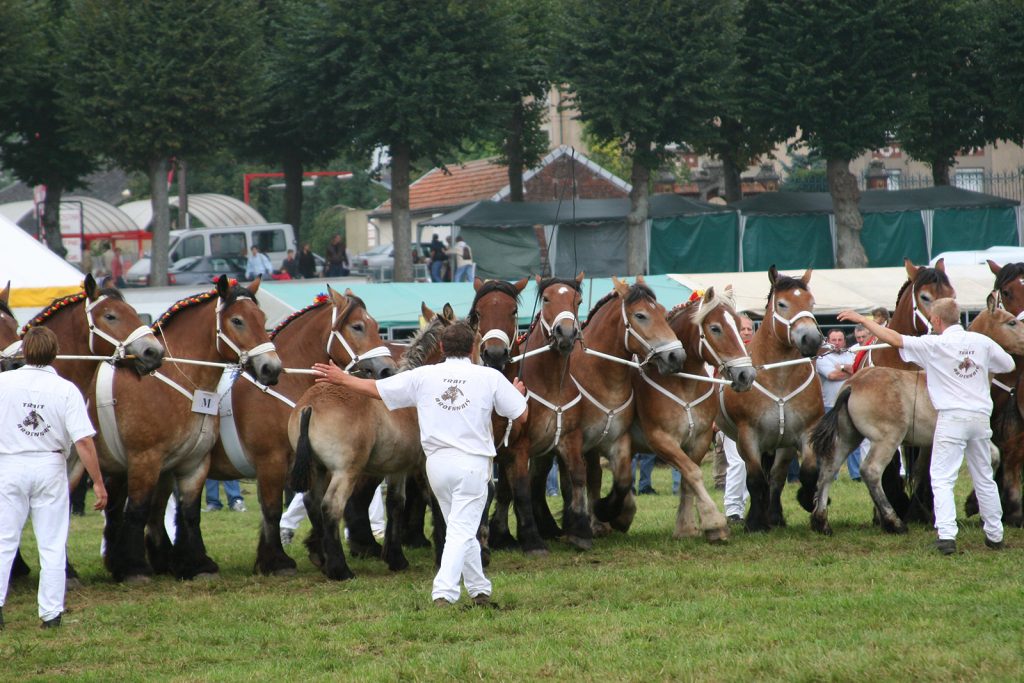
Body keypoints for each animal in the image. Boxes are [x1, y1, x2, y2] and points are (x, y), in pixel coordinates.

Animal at [87, 276, 280, 581]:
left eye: (262, 318)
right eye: (237, 321)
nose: (271, 368)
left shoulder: (193, 462)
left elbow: (189, 512)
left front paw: (196, 564)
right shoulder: (144, 460)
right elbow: (138, 509)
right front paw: (135, 568)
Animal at [199, 286, 395, 573]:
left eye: (377, 326)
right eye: (358, 326)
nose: (388, 369)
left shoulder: (307, 463)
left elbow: (312, 503)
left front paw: (320, 553)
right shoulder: (271, 462)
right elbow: (272, 509)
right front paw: (275, 561)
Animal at [577, 274, 688, 536]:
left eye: (662, 312)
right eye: (640, 315)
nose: (676, 356)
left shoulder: (618, 440)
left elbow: (623, 479)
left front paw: (612, 514)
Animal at [630, 286, 761, 540]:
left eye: (739, 326)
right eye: (715, 328)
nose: (746, 375)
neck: (683, 384)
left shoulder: (699, 438)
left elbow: (688, 478)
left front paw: (686, 527)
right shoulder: (661, 439)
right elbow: (693, 473)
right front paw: (714, 523)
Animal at [720, 266, 823, 532]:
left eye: (812, 302)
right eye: (782, 304)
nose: (812, 339)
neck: (780, 378)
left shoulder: (804, 431)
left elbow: (807, 472)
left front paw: (805, 500)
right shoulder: (748, 435)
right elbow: (755, 479)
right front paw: (755, 522)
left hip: (781, 444)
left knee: (776, 477)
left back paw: (774, 516)